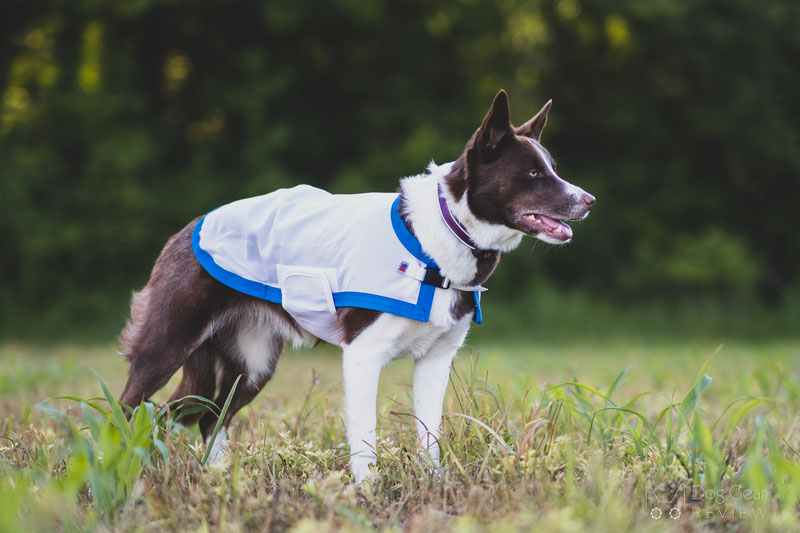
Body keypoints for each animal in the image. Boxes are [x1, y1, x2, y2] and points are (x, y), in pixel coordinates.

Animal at [117, 90, 592, 482]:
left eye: (551, 169)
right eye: (532, 173)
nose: (589, 201)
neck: (440, 236)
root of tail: (188, 229)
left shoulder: (435, 362)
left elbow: (430, 437)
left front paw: (434, 486)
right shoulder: (363, 356)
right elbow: (364, 437)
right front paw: (366, 492)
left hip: (252, 364)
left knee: (204, 417)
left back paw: (215, 479)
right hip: (167, 344)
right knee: (131, 409)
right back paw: (120, 469)